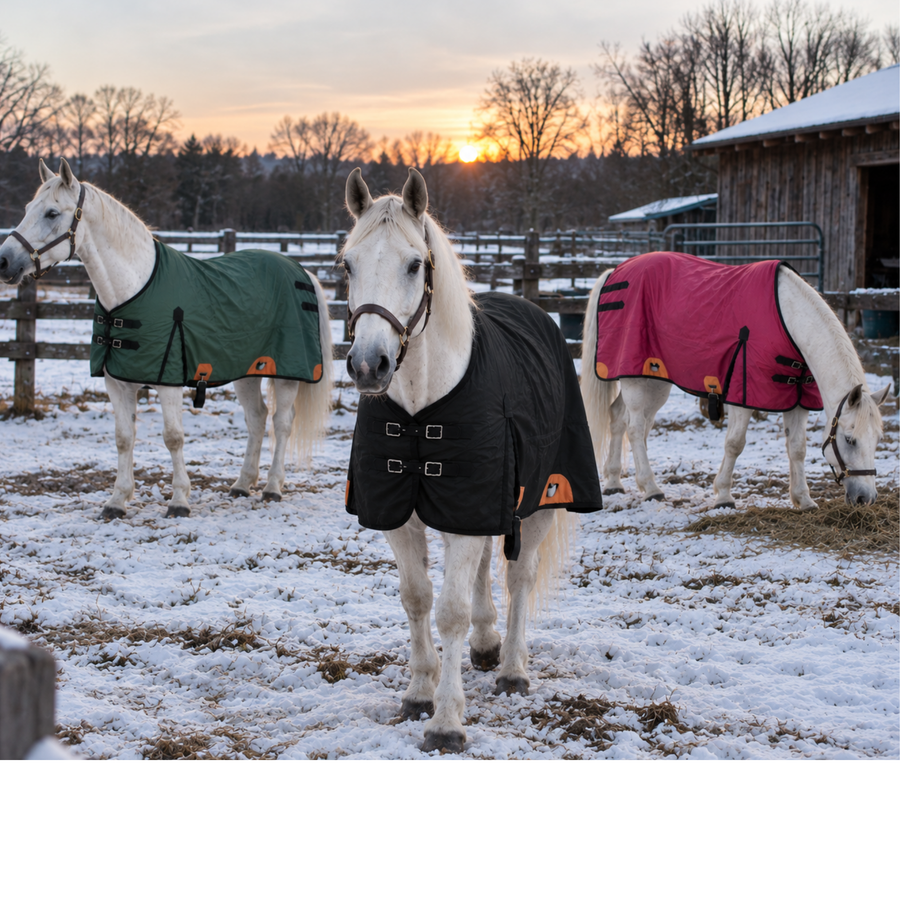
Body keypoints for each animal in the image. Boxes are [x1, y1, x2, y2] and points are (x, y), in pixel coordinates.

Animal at [0, 159, 332, 519]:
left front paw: (179, 501)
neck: (132, 290)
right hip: (248, 370)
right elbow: (123, 437)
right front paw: (117, 501)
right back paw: (242, 485)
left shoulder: (168, 381)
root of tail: (302, 271)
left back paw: (272, 487)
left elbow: (173, 437)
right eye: (27, 209)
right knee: (257, 419)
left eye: (51, 213)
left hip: (286, 375)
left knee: (281, 423)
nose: (3, 260)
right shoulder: (116, 382)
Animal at [341, 167, 602, 753]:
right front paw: (419, 693)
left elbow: (451, 611)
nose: (368, 365)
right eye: (347, 263)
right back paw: (487, 646)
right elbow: (416, 598)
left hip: (541, 498)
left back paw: (512, 670)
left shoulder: (474, 506)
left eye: (414, 264)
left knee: (519, 576)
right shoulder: (405, 513)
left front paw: (446, 722)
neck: (420, 411)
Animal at [581, 253, 890, 509]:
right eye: (849, 440)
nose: (865, 498)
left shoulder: (797, 399)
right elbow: (735, 443)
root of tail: (615, 272)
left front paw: (803, 500)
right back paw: (651, 488)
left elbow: (797, 448)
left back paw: (614, 483)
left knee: (620, 419)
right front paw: (724, 496)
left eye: (877, 440)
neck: (787, 321)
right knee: (634, 428)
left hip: (654, 381)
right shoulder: (743, 393)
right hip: (636, 380)